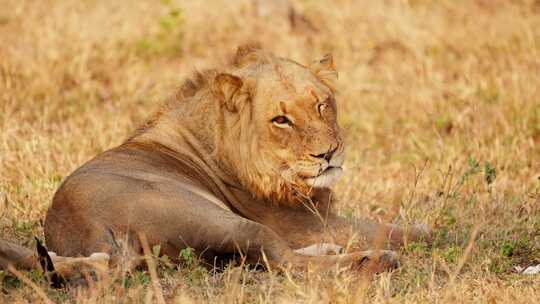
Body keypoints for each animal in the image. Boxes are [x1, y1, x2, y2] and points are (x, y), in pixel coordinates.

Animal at [0, 46, 430, 284]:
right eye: (281, 120)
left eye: (322, 104)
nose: (329, 153)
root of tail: (83, 223)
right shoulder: (306, 223)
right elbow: (399, 230)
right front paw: (437, 232)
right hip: (222, 219)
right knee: (285, 260)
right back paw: (373, 261)